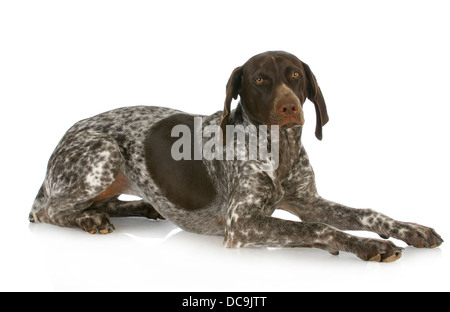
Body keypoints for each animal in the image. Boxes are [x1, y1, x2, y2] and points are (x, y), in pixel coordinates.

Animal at [30, 50, 442, 260]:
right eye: (259, 79)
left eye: (295, 76)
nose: (291, 107)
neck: (279, 150)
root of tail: (64, 138)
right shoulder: (242, 223)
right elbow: (319, 229)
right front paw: (367, 244)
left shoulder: (307, 201)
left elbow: (367, 212)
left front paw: (411, 229)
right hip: (103, 152)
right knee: (50, 210)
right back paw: (89, 219)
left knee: (99, 203)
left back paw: (140, 208)